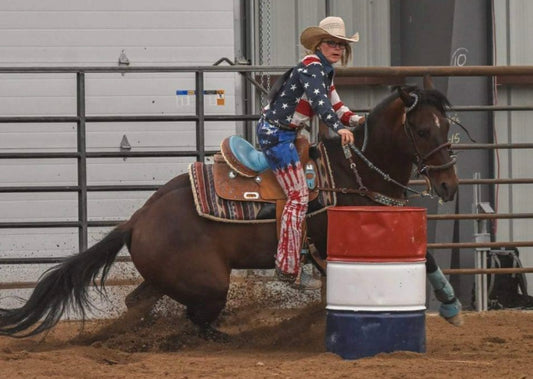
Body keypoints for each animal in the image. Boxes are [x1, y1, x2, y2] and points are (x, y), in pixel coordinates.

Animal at [0, 80, 462, 338]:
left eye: (448, 128)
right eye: (423, 129)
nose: (449, 186)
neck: (354, 173)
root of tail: (137, 221)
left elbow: (426, 255)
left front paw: (450, 306)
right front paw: (451, 308)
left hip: (169, 279)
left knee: (139, 303)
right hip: (208, 283)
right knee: (197, 321)